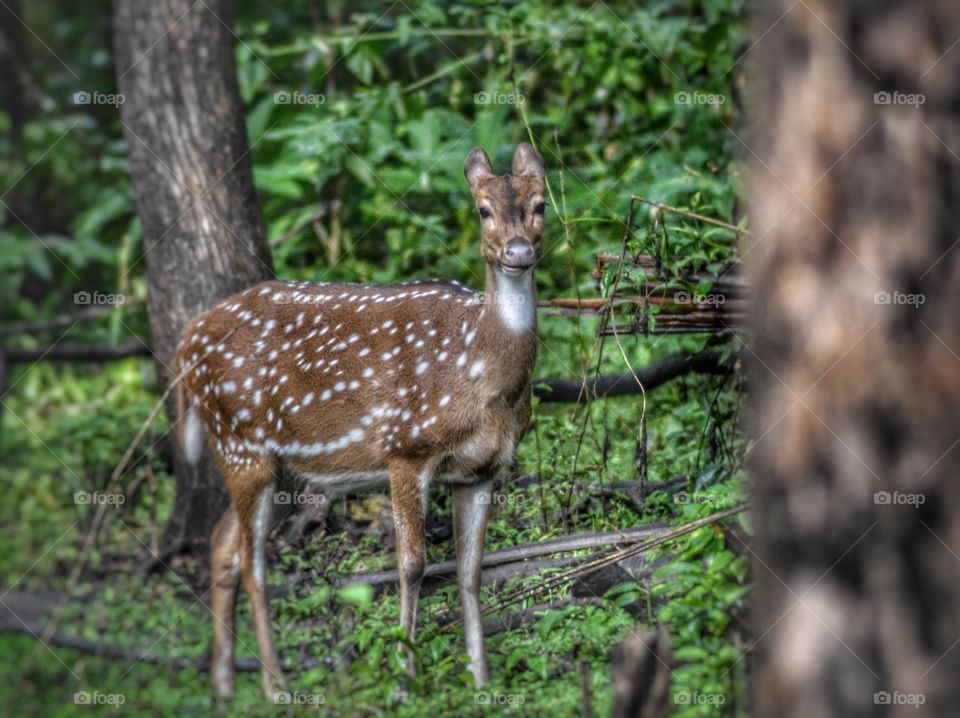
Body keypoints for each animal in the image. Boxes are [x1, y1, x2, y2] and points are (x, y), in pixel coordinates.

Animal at [174, 143, 548, 700]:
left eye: (541, 205)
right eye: (483, 210)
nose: (519, 253)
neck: (480, 373)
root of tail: (185, 342)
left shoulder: (481, 471)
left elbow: (470, 571)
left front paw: (481, 679)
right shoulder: (405, 446)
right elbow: (412, 565)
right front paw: (403, 679)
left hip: (283, 471)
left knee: (223, 544)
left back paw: (223, 682)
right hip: (241, 442)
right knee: (252, 562)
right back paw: (274, 684)